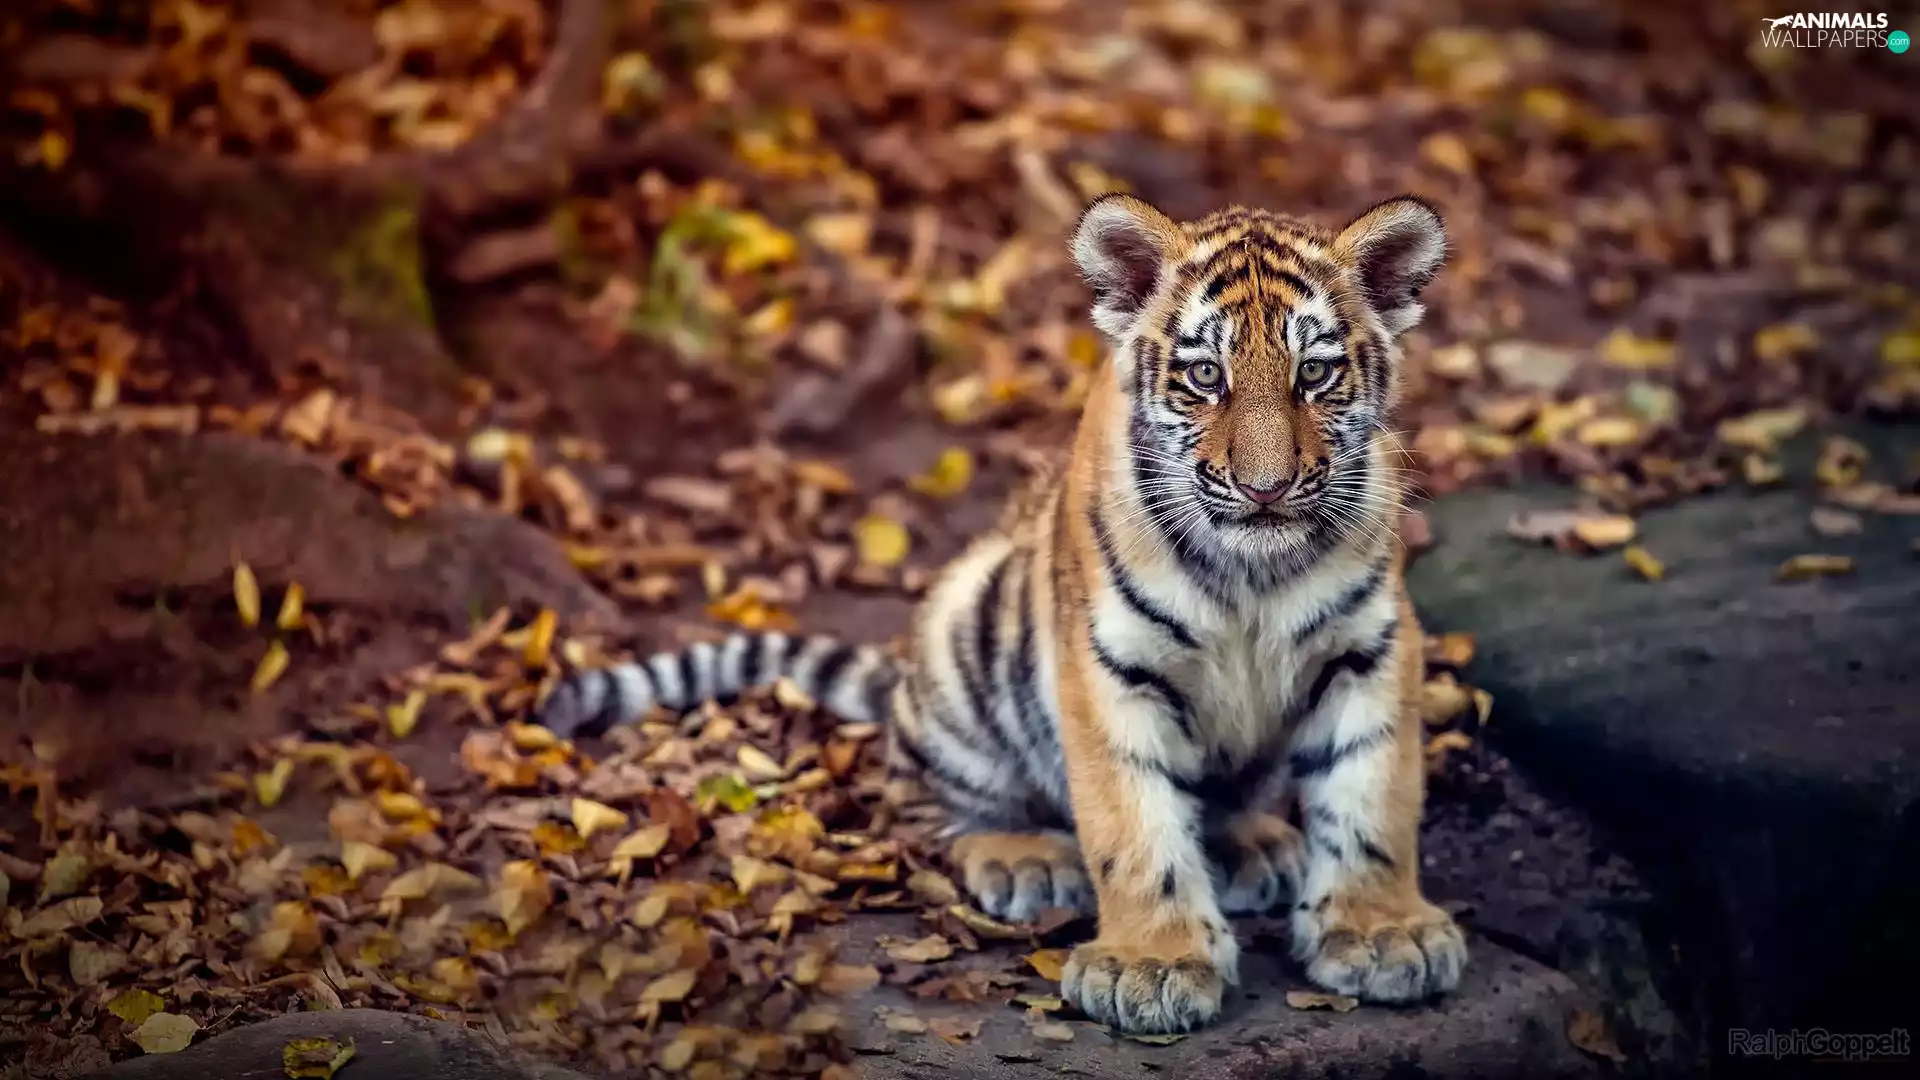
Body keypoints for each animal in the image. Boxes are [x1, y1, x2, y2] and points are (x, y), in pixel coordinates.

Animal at [535, 192, 1466, 1035]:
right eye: (1207, 375)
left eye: (1316, 374)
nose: (1265, 489)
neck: (1253, 570)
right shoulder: (1108, 667)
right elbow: (1134, 824)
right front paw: (1152, 963)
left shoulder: (1373, 649)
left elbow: (1374, 795)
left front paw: (1384, 933)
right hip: (964, 627)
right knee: (924, 803)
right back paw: (1019, 856)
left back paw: (1253, 844)